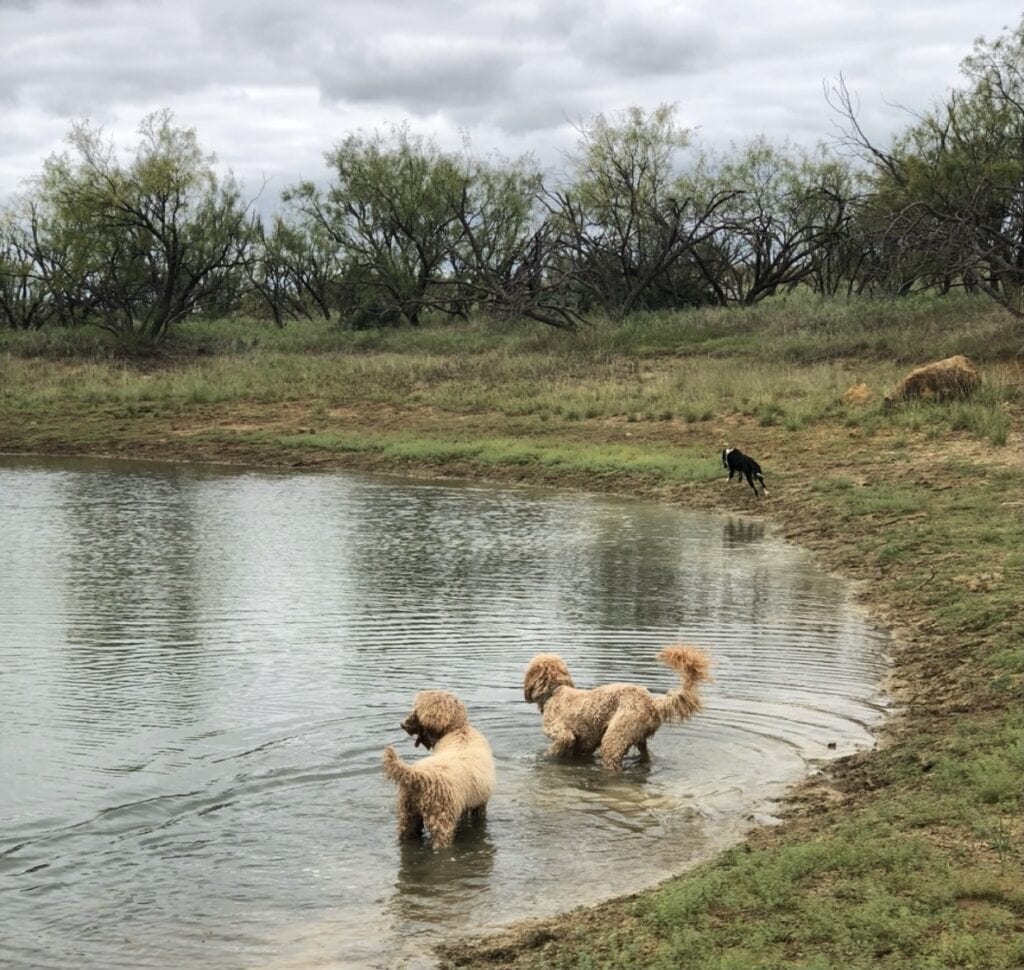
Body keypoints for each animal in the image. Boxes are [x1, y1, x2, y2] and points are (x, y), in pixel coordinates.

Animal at [382, 688, 497, 848]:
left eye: (417, 711)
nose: (402, 724)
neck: (458, 730)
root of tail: (417, 775)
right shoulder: (479, 804)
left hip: (408, 814)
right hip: (441, 818)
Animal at [524, 643, 708, 774]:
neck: (555, 691)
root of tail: (652, 703)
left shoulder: (563, 735)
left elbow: (555, 749)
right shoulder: (586, 743)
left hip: (614, 739)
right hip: (638, 739)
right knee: (646, 756)